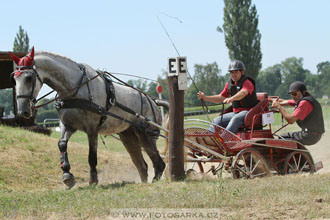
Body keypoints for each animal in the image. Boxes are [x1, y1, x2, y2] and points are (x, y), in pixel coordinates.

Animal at [9, 48, 166, 189]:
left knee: (158, 162)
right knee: (141, 164)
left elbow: (92, 156)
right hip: (128, 135)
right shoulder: (67, 125)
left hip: (145, 134)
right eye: (14, 79)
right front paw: (67, 176)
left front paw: (93, 180)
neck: (74, 90)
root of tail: (152, 101)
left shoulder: (92, 129)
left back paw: (156, 179)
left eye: (29, 78)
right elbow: (62, 144)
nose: (23, 111)